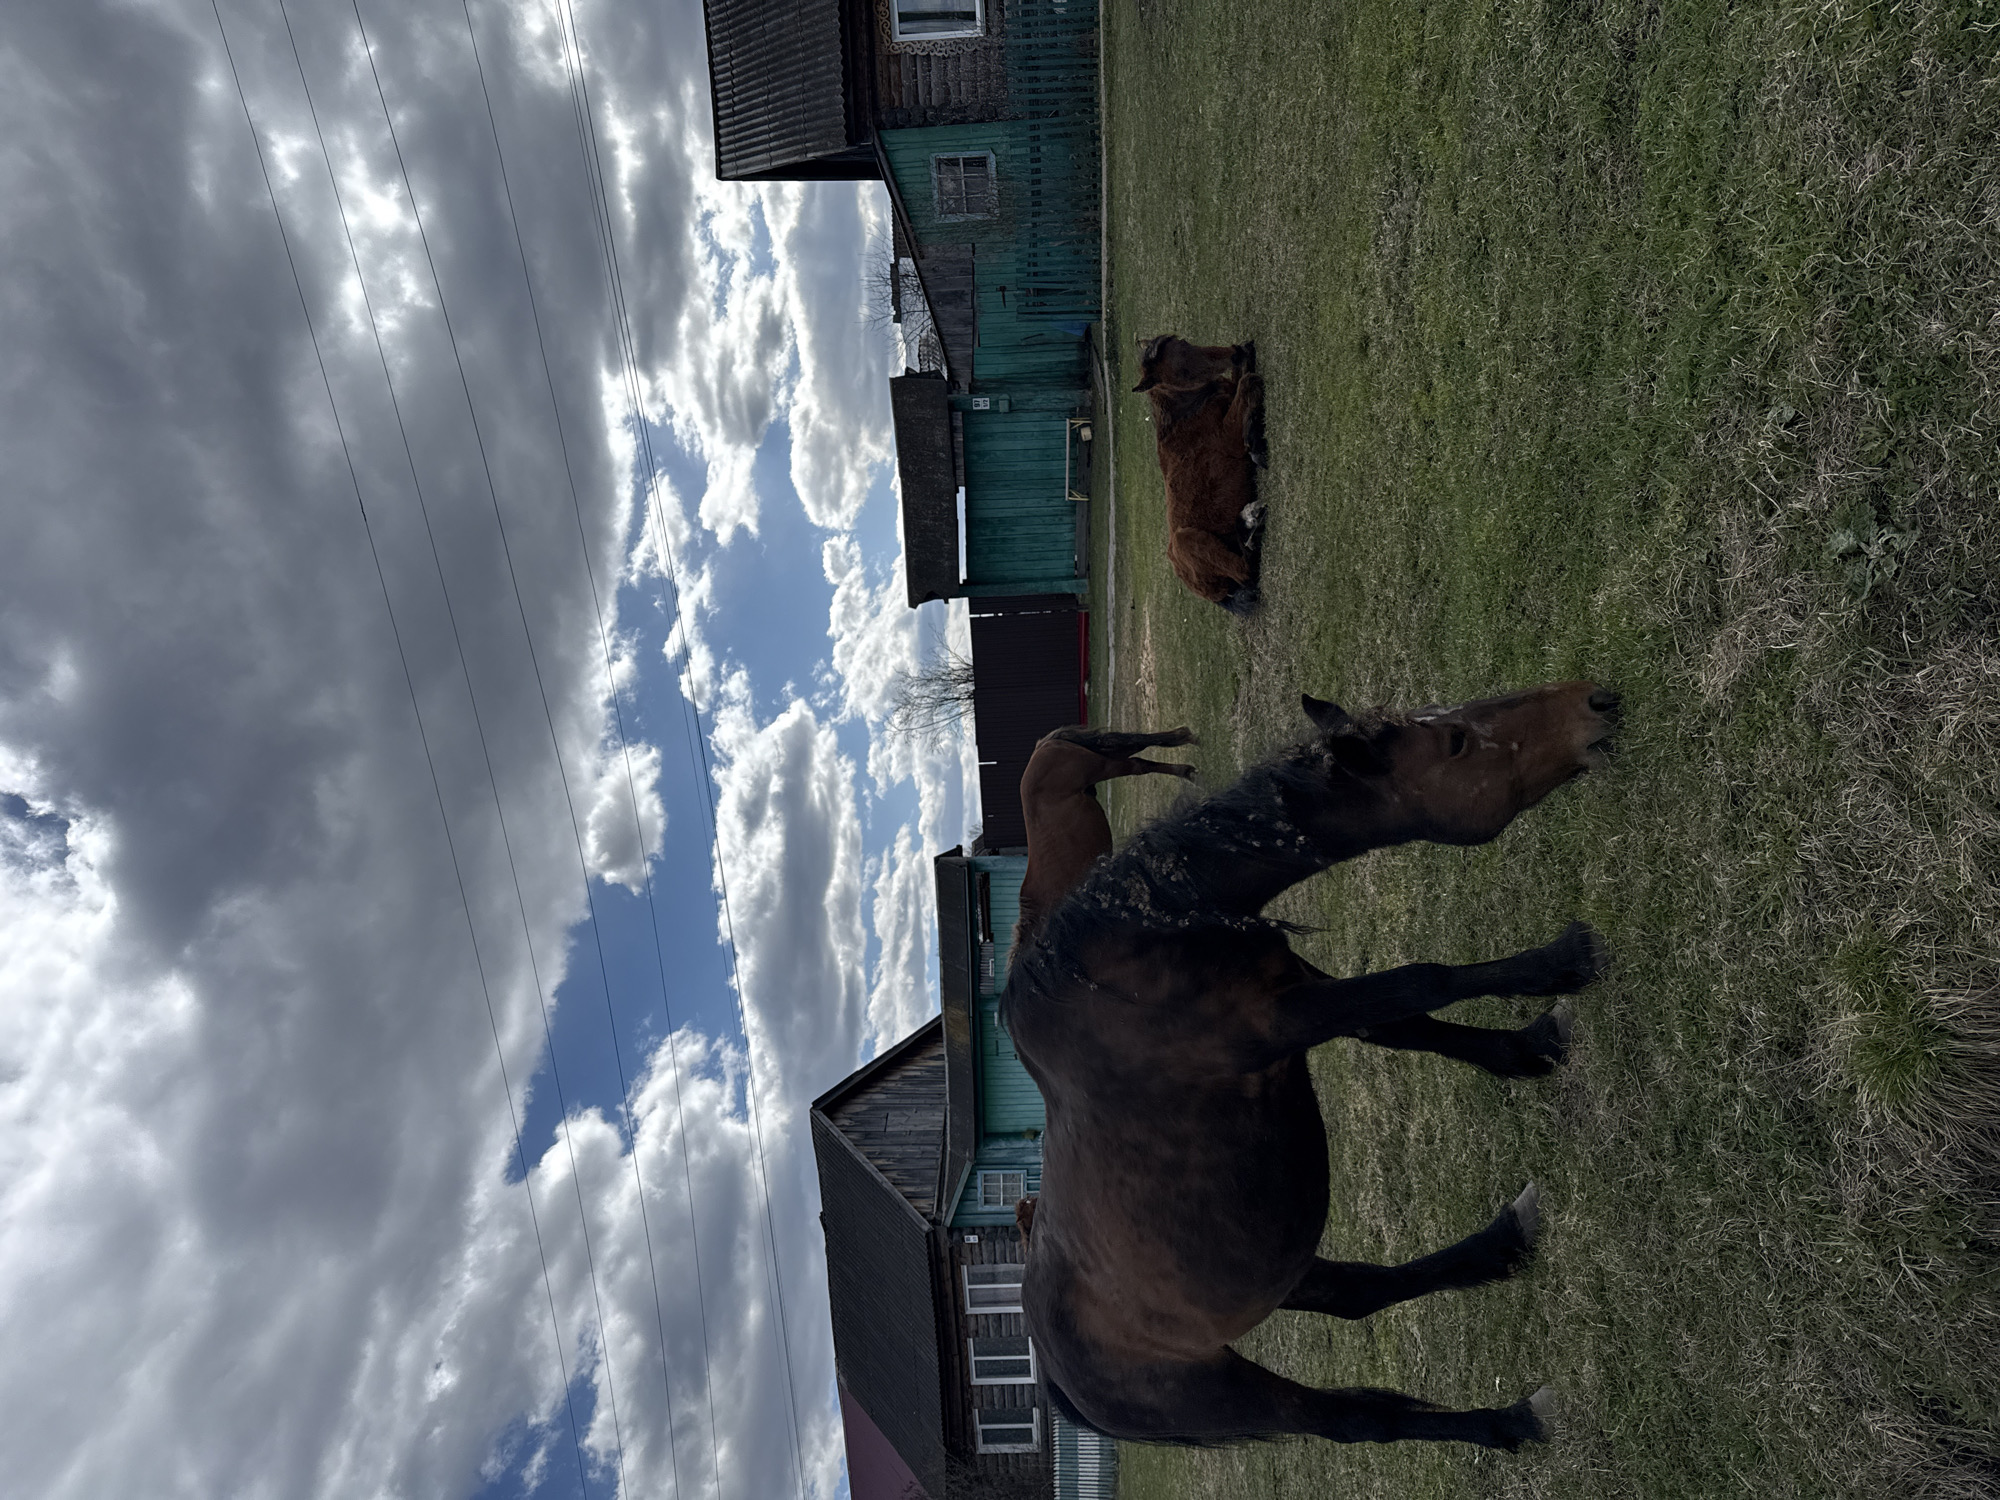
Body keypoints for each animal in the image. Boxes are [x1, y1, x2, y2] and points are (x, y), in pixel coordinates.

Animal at [999, 681, 1619, 1451]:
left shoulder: (1295, 981)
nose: (1595, 703)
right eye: (1455, 744)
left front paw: (1529, 1046)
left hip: (1283, 1275)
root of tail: (1056, 1378)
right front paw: (1562, 962)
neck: (1138, 947)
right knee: (1362, 1419)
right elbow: (1420, 983)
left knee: (1358, 1294)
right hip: (1226, 1392)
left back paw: (1503, 1244)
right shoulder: (1278, 1022)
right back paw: (1511, 1422)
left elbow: (1406, 1025)